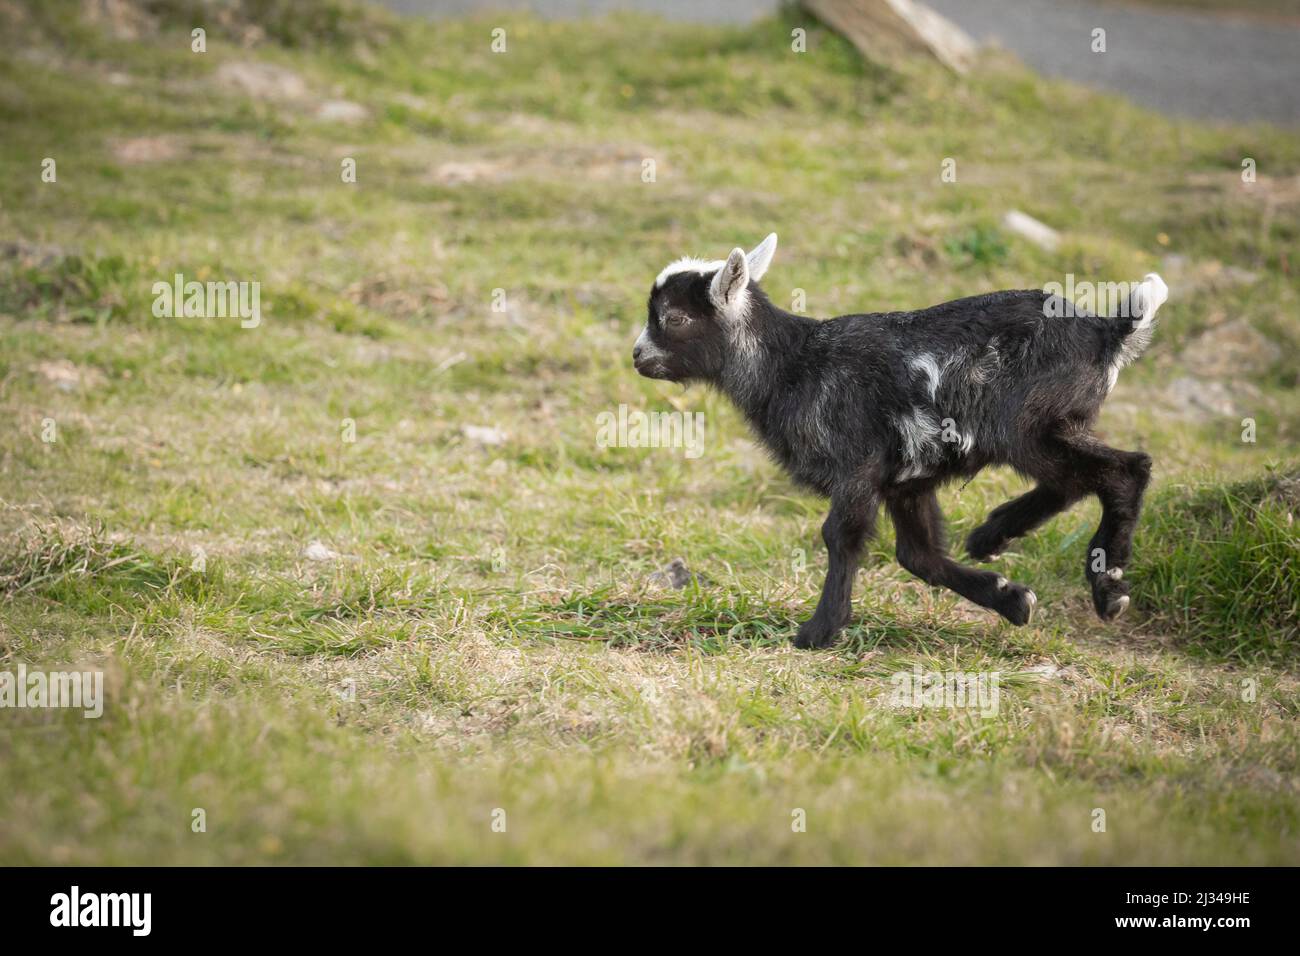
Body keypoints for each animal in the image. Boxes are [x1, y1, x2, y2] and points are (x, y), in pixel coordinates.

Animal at [633, 234, 1168, 648]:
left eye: (674, 318)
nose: (638, 356)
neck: (794, 366)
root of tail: (1106, 331)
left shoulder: (859, 464)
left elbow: (842, 535)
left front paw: (818, 631)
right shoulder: (907, 479)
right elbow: (919, 556)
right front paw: (1012, 599)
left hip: (1027, 424)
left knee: (1124, 469)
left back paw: (1109, 587)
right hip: (1048, 428)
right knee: (1074, 480)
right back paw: (993, 536)